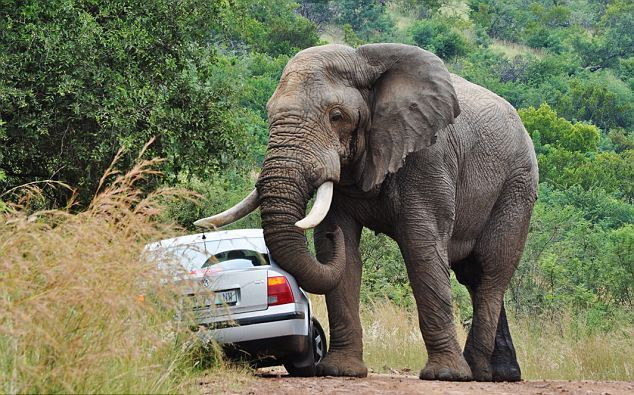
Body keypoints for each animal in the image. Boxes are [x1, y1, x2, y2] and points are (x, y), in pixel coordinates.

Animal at [195, 41, 536, 382]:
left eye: (336, 116)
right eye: (269, 114)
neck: (363, 61)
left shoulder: (428, 158)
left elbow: (421, 247)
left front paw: (446, 375)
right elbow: (342, 250)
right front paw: (340, 371)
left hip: (517, 185)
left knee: (491, 269)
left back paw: (477, 371)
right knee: (473, 276)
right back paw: (502, 374)